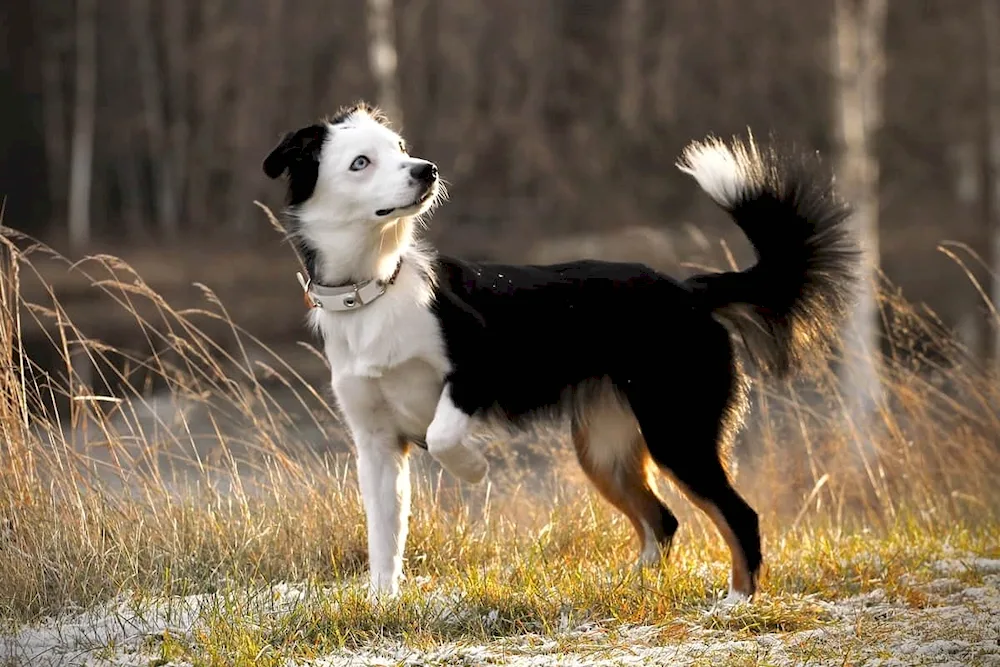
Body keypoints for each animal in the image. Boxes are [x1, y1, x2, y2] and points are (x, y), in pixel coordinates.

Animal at [260, 103, 860, 600]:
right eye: (361, 162)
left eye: (401, 148)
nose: (425, 170)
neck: (377, 287)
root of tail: (690, 290)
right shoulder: (377, 446)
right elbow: (385, 540)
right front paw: (382, 605)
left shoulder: (480, 366)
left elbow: (443, 432)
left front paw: (473, 469)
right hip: (605, 447)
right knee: (663, 521)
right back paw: (633, 586)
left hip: (676, 429)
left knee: (739, 515)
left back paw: (735, 602)